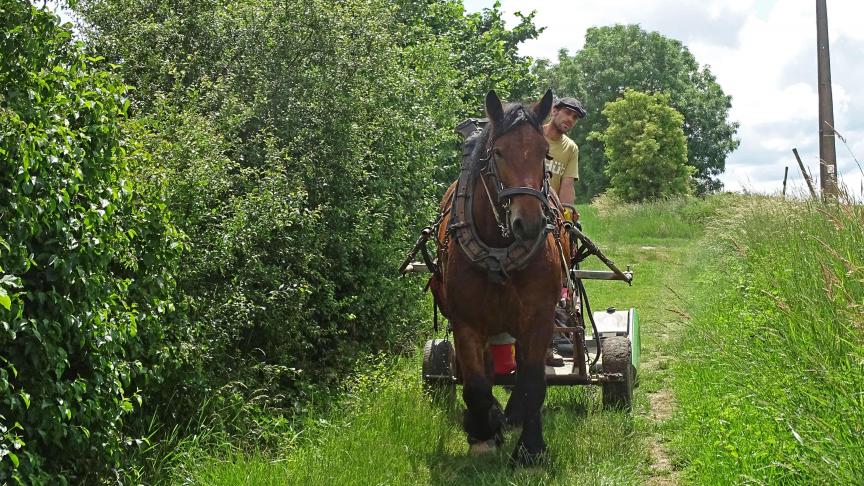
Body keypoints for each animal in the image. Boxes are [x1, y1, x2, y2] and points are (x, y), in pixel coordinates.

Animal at [430, 89, 570, 465]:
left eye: (544, 152)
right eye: (498, 152)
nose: (530, 223)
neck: (499, 249)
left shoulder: (538, 316)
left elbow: (533, 380)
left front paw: (530, 448)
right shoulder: (465, 321)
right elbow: (477, 385)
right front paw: (482, 431)